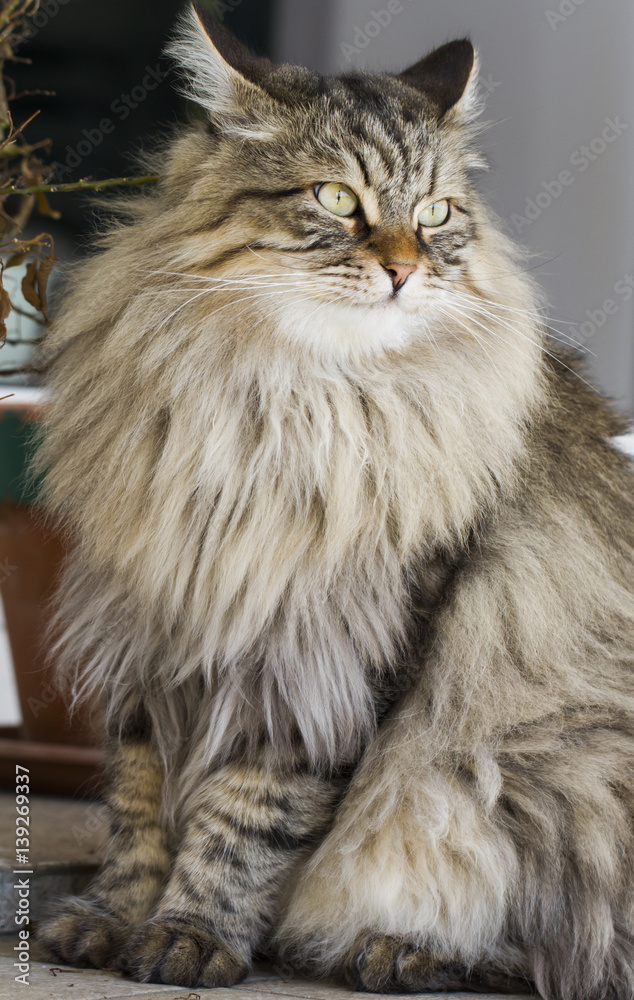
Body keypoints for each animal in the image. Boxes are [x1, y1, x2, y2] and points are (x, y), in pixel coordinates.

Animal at [35, 3, 632, 996]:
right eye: (337, 199)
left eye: (434, 214)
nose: (403, 269)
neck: (281, 406)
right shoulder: (153, 624)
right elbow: (138, 806)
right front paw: (111, 919)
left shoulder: (331, 650)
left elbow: (245, 818)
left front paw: (190, 936)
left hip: (562, 779)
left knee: (560, 944)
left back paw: (401, 951)